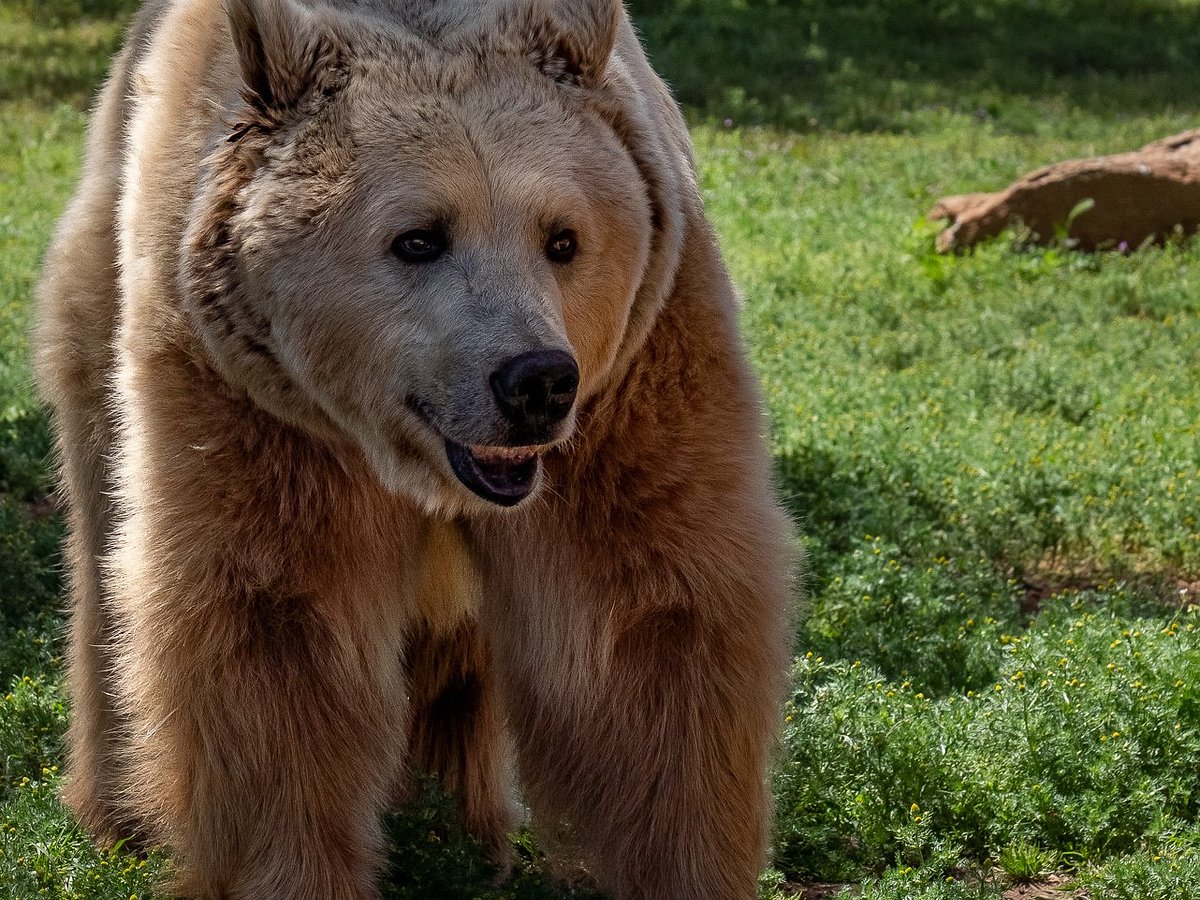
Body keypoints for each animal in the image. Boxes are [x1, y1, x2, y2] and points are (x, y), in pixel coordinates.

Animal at [32, 1, 792, 900]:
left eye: (563, 238)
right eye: (419, 238)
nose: (536, 381)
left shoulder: (638, 368)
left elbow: (645, 608)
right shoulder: (259, 405)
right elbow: (274, 622)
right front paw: (289, 868)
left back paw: (464, 826)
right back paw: (119, 815)